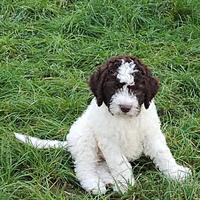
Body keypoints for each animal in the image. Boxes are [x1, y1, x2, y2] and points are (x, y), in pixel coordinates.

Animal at [14, 55, 191, 195]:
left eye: (137, 89)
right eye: (113, 87)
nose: (125, 107)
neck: (126, 120)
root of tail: (69, 143)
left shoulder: (152, 133)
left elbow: (163, 155)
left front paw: (176, 174)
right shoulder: (110, 142)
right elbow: (120, 164)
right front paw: (127, 186)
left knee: (101, 166)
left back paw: (111, 181)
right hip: (85, 140)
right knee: (85, 167)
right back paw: (95, 185)